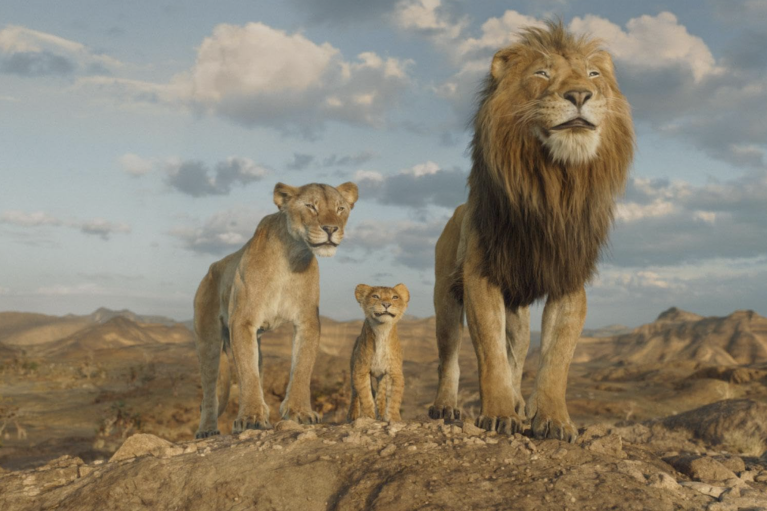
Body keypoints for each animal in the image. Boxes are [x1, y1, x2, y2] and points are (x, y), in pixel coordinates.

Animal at [193, 181, 358, 438]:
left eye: (340, 208)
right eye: (311, 206)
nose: (331, 228)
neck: (291, 255)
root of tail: (211, 269)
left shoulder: (307, 320)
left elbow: (302, 367)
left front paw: (300, 412)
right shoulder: (243, 321)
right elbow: (247, 374)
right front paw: (250, 418)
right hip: (208, 340)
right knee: (210, 390)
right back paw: (207, 430)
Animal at [347, 283, 409, 423]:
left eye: (395, 297)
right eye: (375, 296)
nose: (386, 304)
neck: (382, 330)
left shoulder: (395, 372)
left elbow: (394, 398)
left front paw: (393, 418)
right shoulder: (360, 371)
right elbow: (365, 396)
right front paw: (368, 417)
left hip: (383, 377)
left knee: (381, 395)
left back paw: (381, 413)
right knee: (354, 393)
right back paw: (352, 414)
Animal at [428, 22, 634, 442]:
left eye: (593, 75)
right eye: (542, 74)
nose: (580, 95)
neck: (553, 185)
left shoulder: (568, 279)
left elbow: (556, 359)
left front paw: (553, 420)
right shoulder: (481, 277)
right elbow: (490, 355)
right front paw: (498, 413)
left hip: (518, 315)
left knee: (518, 355)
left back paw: (520, 402)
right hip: (445, 298)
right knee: (450, 356)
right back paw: (446, 406)